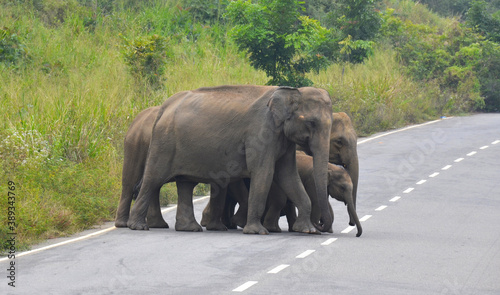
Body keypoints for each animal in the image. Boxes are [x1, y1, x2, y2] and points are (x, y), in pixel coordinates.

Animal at [122, 85, 334, 236]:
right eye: (311, 123)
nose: (321, 225)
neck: (292, 90)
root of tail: (162, 109)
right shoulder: (261, 133)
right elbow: (264, 173)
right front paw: (257, 232)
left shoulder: (283, 138)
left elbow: (289, 176)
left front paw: (307, 230)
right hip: (164, 144)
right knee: (153, 179)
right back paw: (138, 227)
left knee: (185, 183)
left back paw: (189, 228)